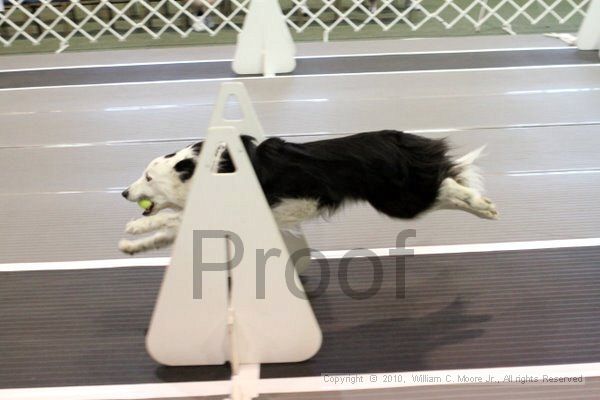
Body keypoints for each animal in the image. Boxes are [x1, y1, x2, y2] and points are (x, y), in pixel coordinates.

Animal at [117, 130, 496, 253]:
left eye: (147, 178)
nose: (122, 193)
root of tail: (400, 139)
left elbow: (170, 220)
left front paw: (136, 226)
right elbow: (166, 231)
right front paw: (131, 246)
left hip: (400, 200)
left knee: (447, 184)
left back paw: (482, 205)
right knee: (448, 182)